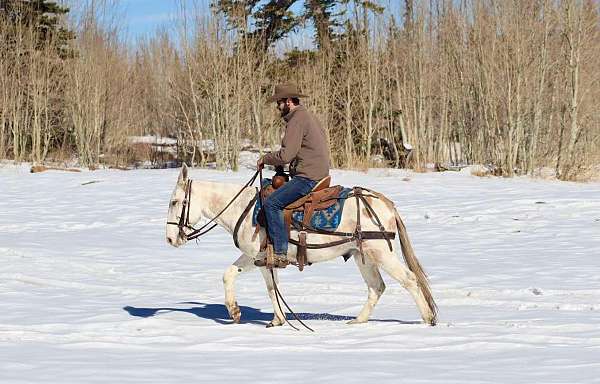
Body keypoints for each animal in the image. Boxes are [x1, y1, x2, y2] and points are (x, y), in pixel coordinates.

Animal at [164, 164, 436, 328]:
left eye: (175, 202)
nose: (169, 239)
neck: (243, 207)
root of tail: (387, 204)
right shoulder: (261, 259)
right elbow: (242, 278)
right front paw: (250, 315)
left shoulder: (257, 256)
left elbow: (266, 287)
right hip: (364, 256)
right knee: (376, 287)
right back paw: (357, 322)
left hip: (380, 253)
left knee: (410, 280)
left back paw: (428, 319)